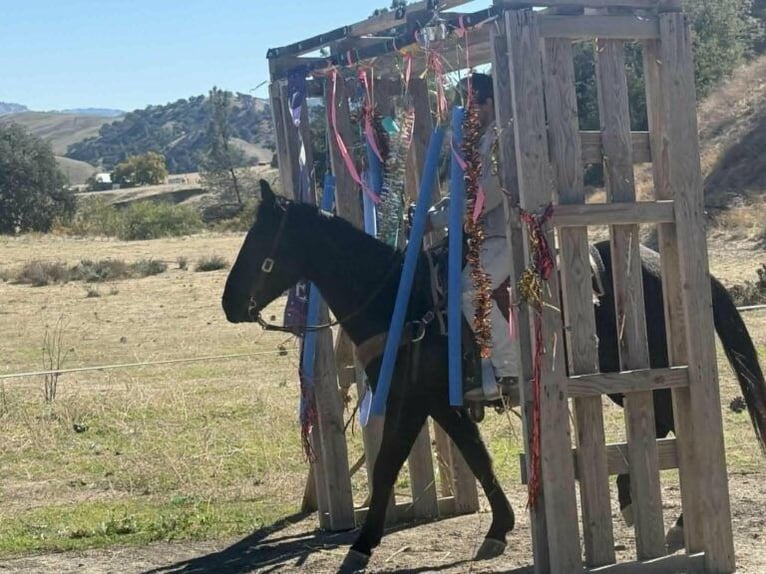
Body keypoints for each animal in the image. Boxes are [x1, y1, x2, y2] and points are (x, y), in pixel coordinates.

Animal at [222, 180, 766, 572]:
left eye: (259, 240)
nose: (229, 304)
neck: (399, 300)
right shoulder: (442, 403)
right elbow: (477, 457)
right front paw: (499, 528)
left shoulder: (408, 400)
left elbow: (387, 465)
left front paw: (362, 544)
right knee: (664, 423)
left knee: (670, 423)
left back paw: (660, 513)